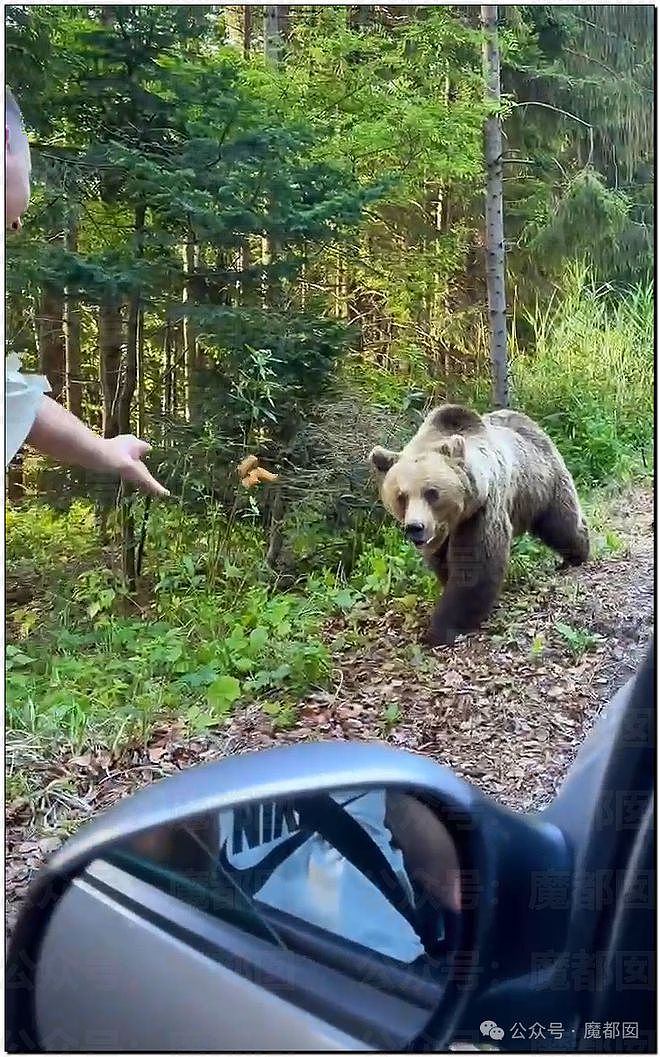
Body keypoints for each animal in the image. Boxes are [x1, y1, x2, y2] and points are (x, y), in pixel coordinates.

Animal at [368, 403, 592, 646]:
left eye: (431, 492)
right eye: (401, 496)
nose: (415, 528)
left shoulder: (481, 510)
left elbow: (475, 566)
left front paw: (442, 628)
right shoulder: (442, 535)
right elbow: (443, 563)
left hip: (541, 483)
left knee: (561, 521)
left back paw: (576, 555)